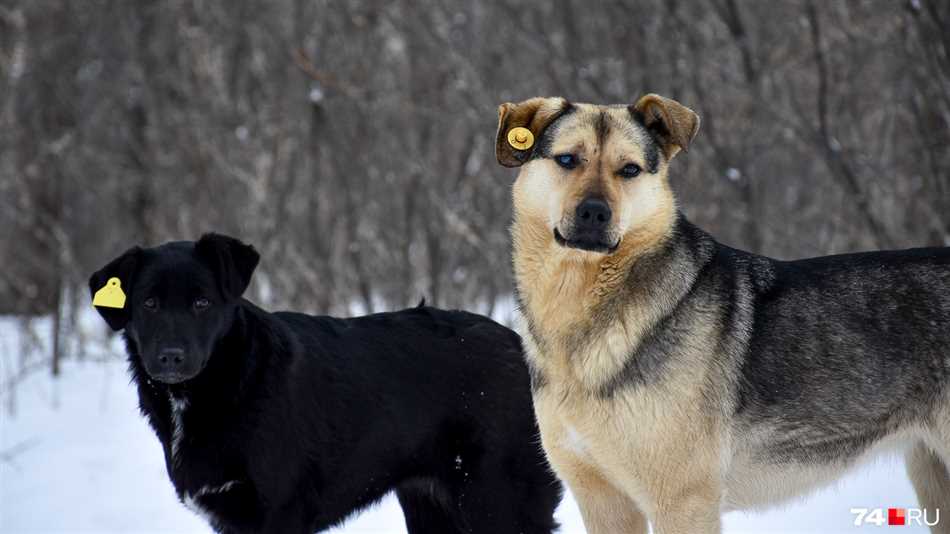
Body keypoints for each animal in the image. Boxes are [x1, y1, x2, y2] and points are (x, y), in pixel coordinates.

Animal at [86, 234, 560, 534]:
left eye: (202, 302)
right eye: (148, 303)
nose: (170, 357)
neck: (230, 383)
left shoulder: (278, 515)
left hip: (497, 504)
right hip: (434, 508)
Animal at [494, 94, 950, 532]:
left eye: (629, 170)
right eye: (568, 160)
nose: (594, 212)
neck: (582, 309)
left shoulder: (683, 502)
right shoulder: (602, 500)